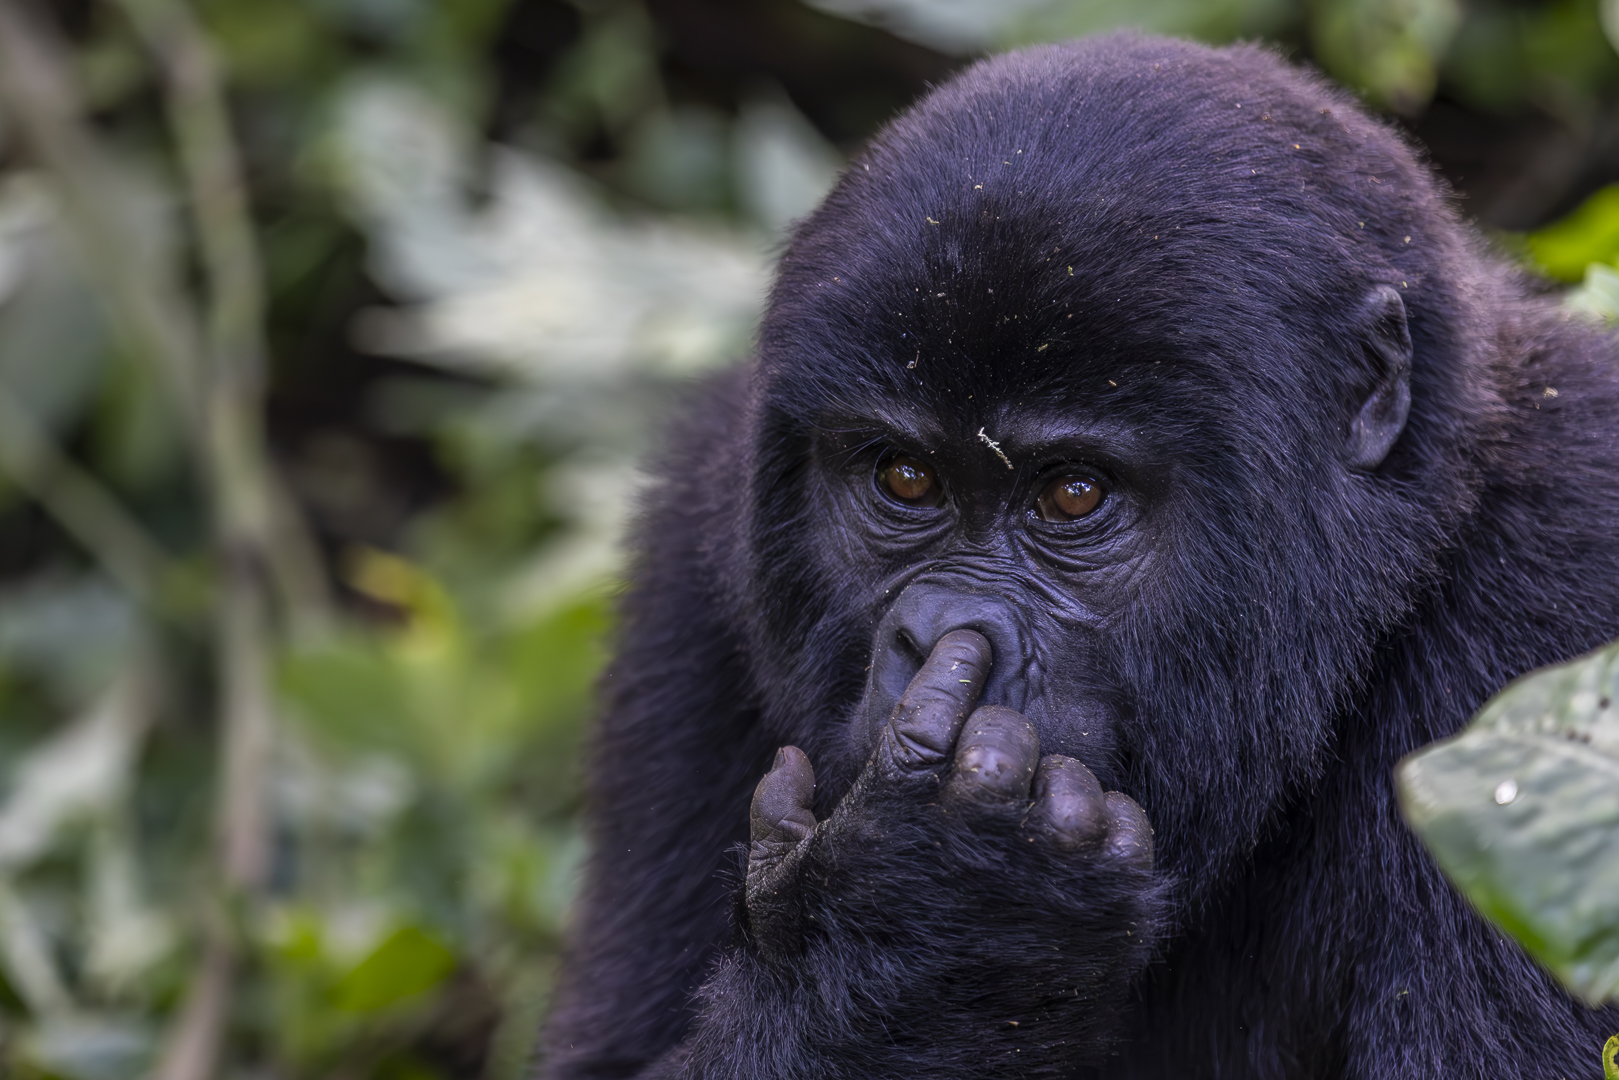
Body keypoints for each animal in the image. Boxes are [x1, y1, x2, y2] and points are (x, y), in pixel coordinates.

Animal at [537, 33, 1619, 1080]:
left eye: (1073, 494)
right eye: (902, 478)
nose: (934, 634)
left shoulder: (1559, 578)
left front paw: (939, 903)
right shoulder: (697, 531)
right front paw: (928, 924)